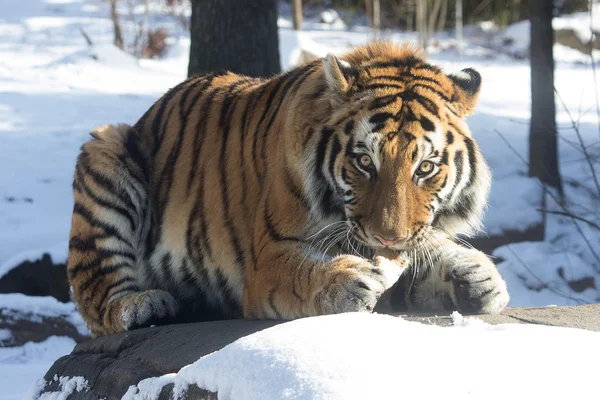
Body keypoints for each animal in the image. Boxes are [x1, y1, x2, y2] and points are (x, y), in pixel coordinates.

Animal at [69, 40, 510, 336]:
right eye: (365, 162)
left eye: (425, 168)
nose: (389, 237)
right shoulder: (268, 257)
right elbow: (305, 272)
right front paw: (346, 281)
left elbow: (429, 254)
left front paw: (480, 277)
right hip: (105, 152)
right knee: (97, 296)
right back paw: (145, 304)